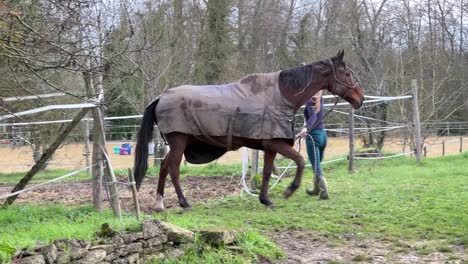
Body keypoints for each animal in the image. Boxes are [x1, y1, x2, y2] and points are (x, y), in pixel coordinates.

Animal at [133, 50, 364, 211]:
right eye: (347, 73)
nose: (360, 98)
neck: (281, 95)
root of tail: (161, 97)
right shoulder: (276, 143)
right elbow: (300, 161)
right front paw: (290, 189)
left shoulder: (270, 146)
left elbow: (267, 172)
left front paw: (265, 199)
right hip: (178, 141)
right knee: (173, 170)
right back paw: (184, 202)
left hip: (178, 143)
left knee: (164, 167)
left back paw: (159, 203)